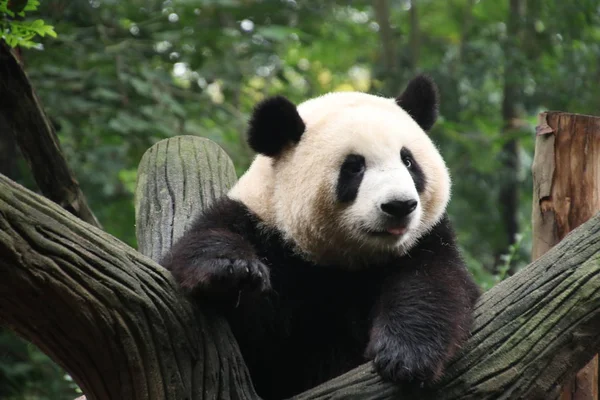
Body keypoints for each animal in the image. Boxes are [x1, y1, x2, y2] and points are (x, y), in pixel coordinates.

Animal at [162, 76, 480, 400]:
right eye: (354, 167)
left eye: (408, 161)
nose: (399, 206)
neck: (345, 259)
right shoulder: (261, 226)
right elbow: (205, 246)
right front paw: (235, 271)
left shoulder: (427, 240)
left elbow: (433, 284)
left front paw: (404, 357)